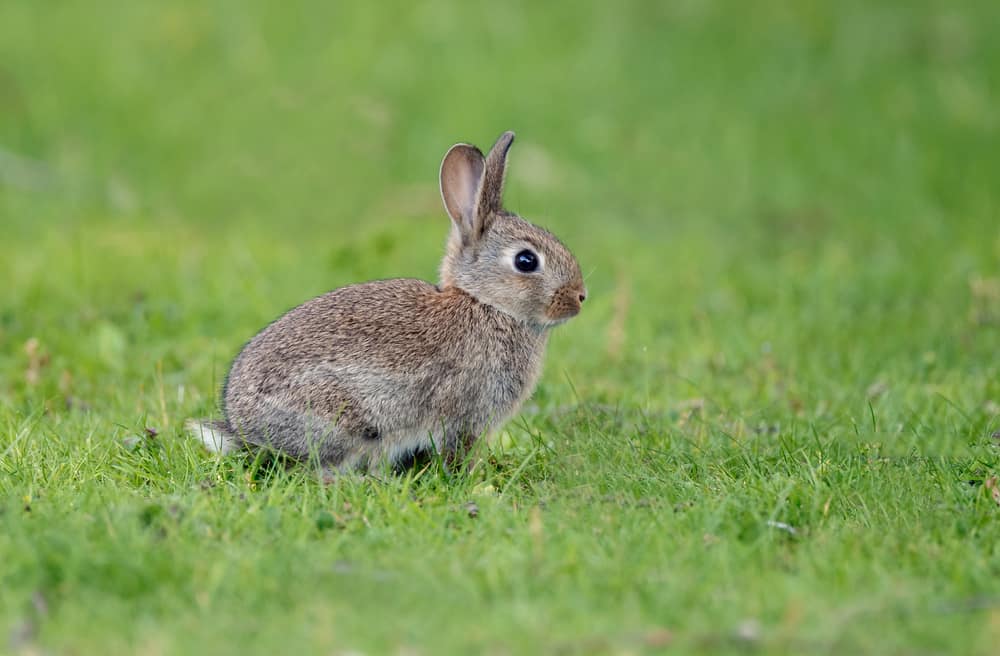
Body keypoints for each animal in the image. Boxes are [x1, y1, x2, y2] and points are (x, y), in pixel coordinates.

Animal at [186, 131, 584, 474]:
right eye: (526, 261)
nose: (580, 297)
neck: (485, 303)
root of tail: (245, 431)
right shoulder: (463, 415)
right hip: (341, 420)